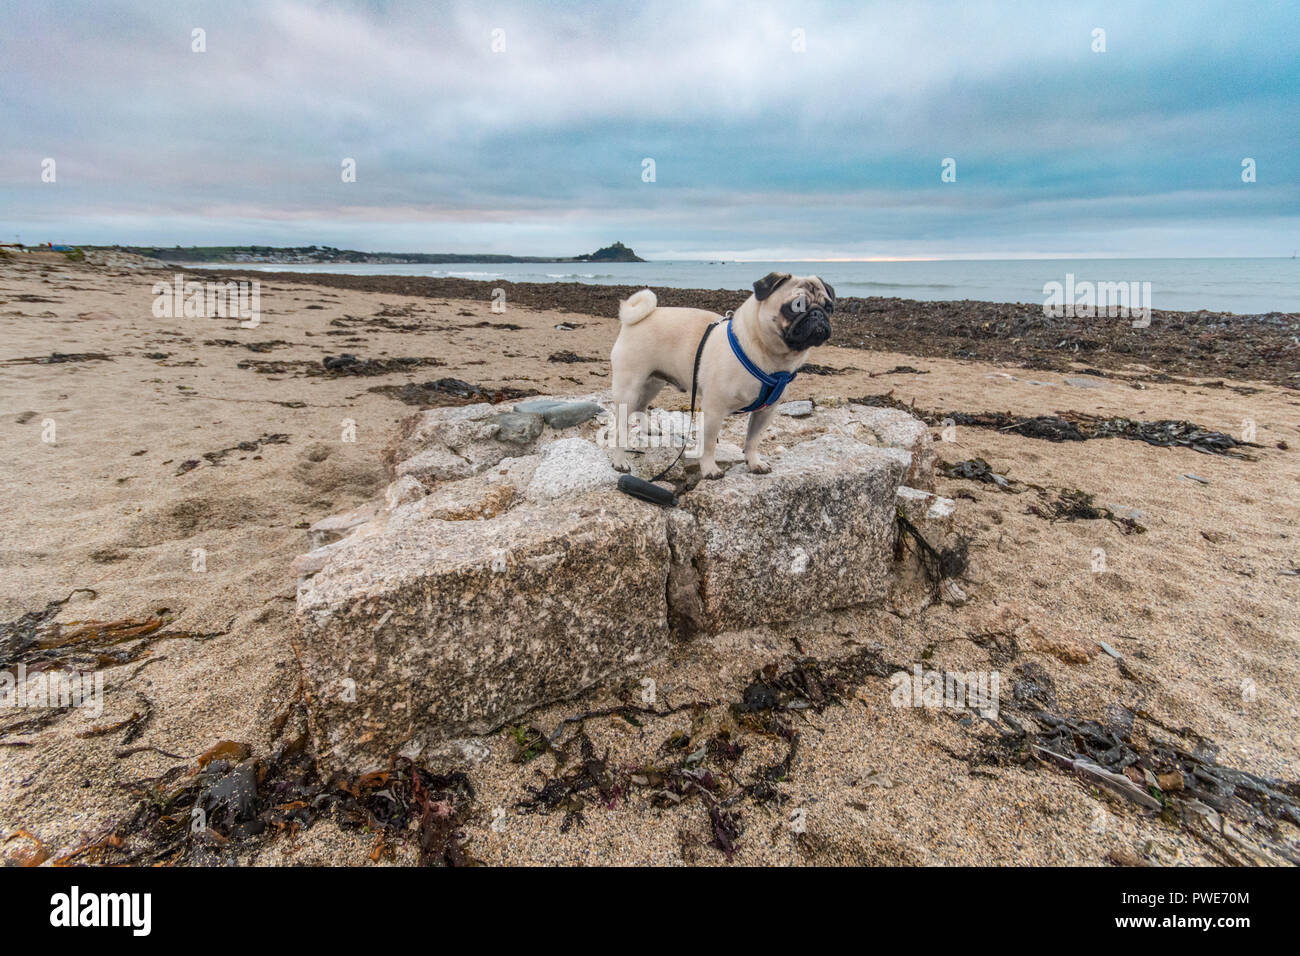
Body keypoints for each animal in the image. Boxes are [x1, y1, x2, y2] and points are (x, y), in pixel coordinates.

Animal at [608, 270, 832, 478]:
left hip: (653, 382)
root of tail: (641, 317)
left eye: (829, 307)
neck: (771, 358)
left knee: (642, 405)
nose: (818, 314)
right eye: (795, 306)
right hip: (629, 387)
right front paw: (709, 469)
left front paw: (754, 463)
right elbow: (708, 444)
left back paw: (649, 429)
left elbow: (753, 440)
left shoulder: (765, 412)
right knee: (621, 427)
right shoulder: (714, 410)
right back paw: (620, 461)